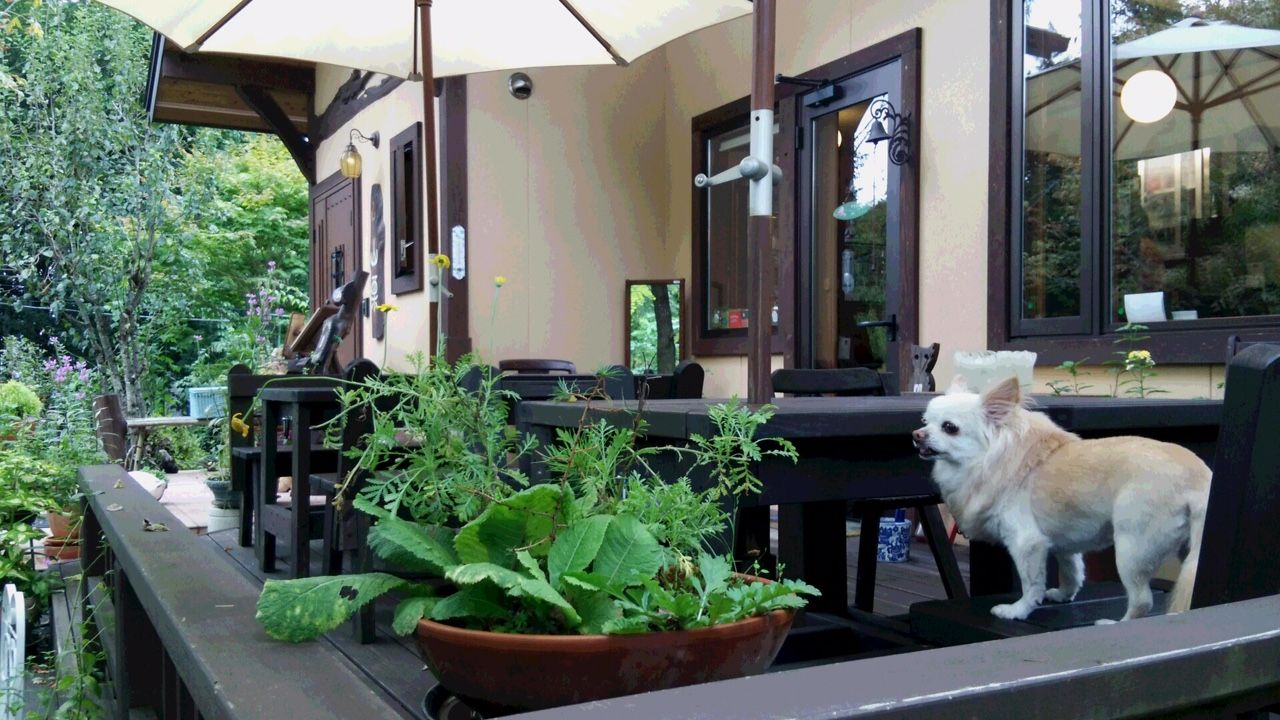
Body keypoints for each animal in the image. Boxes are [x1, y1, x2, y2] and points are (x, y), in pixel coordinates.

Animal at [912, 375, 1210, 623]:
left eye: (949, 428)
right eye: (925, 422)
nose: (916, 435)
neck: (991, 458)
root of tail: (1200, 480)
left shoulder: (1027, 543)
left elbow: (1031, 583)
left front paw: (1018, 610)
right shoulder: (1065, 542)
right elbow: (1072, 570)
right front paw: (1064, 595)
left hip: (1131, 549)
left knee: (1142, 602)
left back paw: (1113, 624)